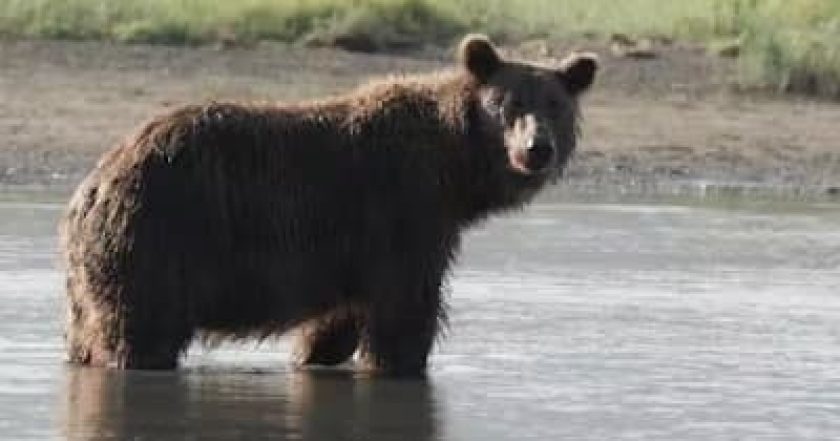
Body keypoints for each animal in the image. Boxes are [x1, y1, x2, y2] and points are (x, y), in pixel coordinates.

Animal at [59, 34, 596, 374]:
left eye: (555, 105)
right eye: (509, 105)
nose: (537, 150)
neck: (455, 168)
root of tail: (94, 182)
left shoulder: (353, 251)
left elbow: (337, 322)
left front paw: (315, 353)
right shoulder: (403, 211)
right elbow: (403, 311)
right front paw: (397, 362)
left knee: (88, 332)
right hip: (159, 237)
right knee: (141, 330)